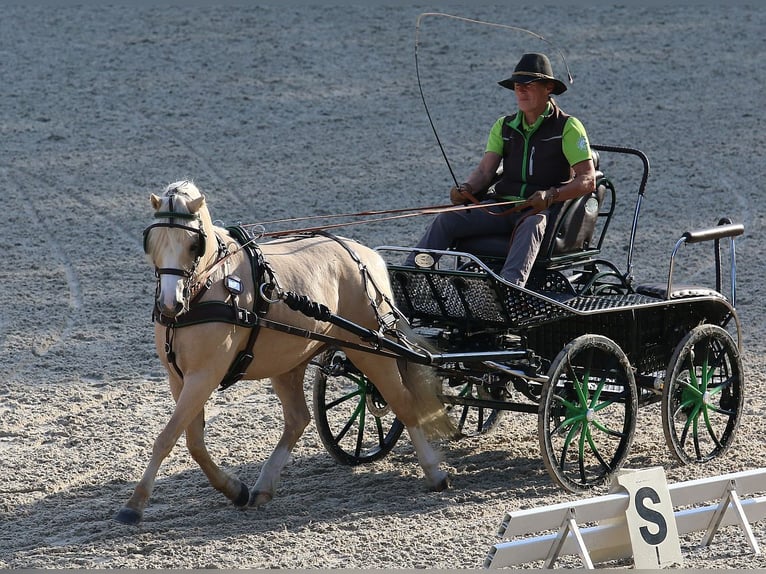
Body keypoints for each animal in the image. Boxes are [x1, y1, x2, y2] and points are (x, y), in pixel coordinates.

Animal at [115, 181, 456, 528]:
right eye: (152, 240)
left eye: (193, 244)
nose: (170, 304)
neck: (211, 287)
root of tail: (365, 256)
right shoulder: (179, 378)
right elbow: (193, 442)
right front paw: (234, 489)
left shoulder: (204, 376)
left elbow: (167, 437)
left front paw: (134, 504)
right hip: (288, 362)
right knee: (298, 418)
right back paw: (262, 486)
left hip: (371, 351)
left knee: (403, 403)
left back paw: (434, 472)